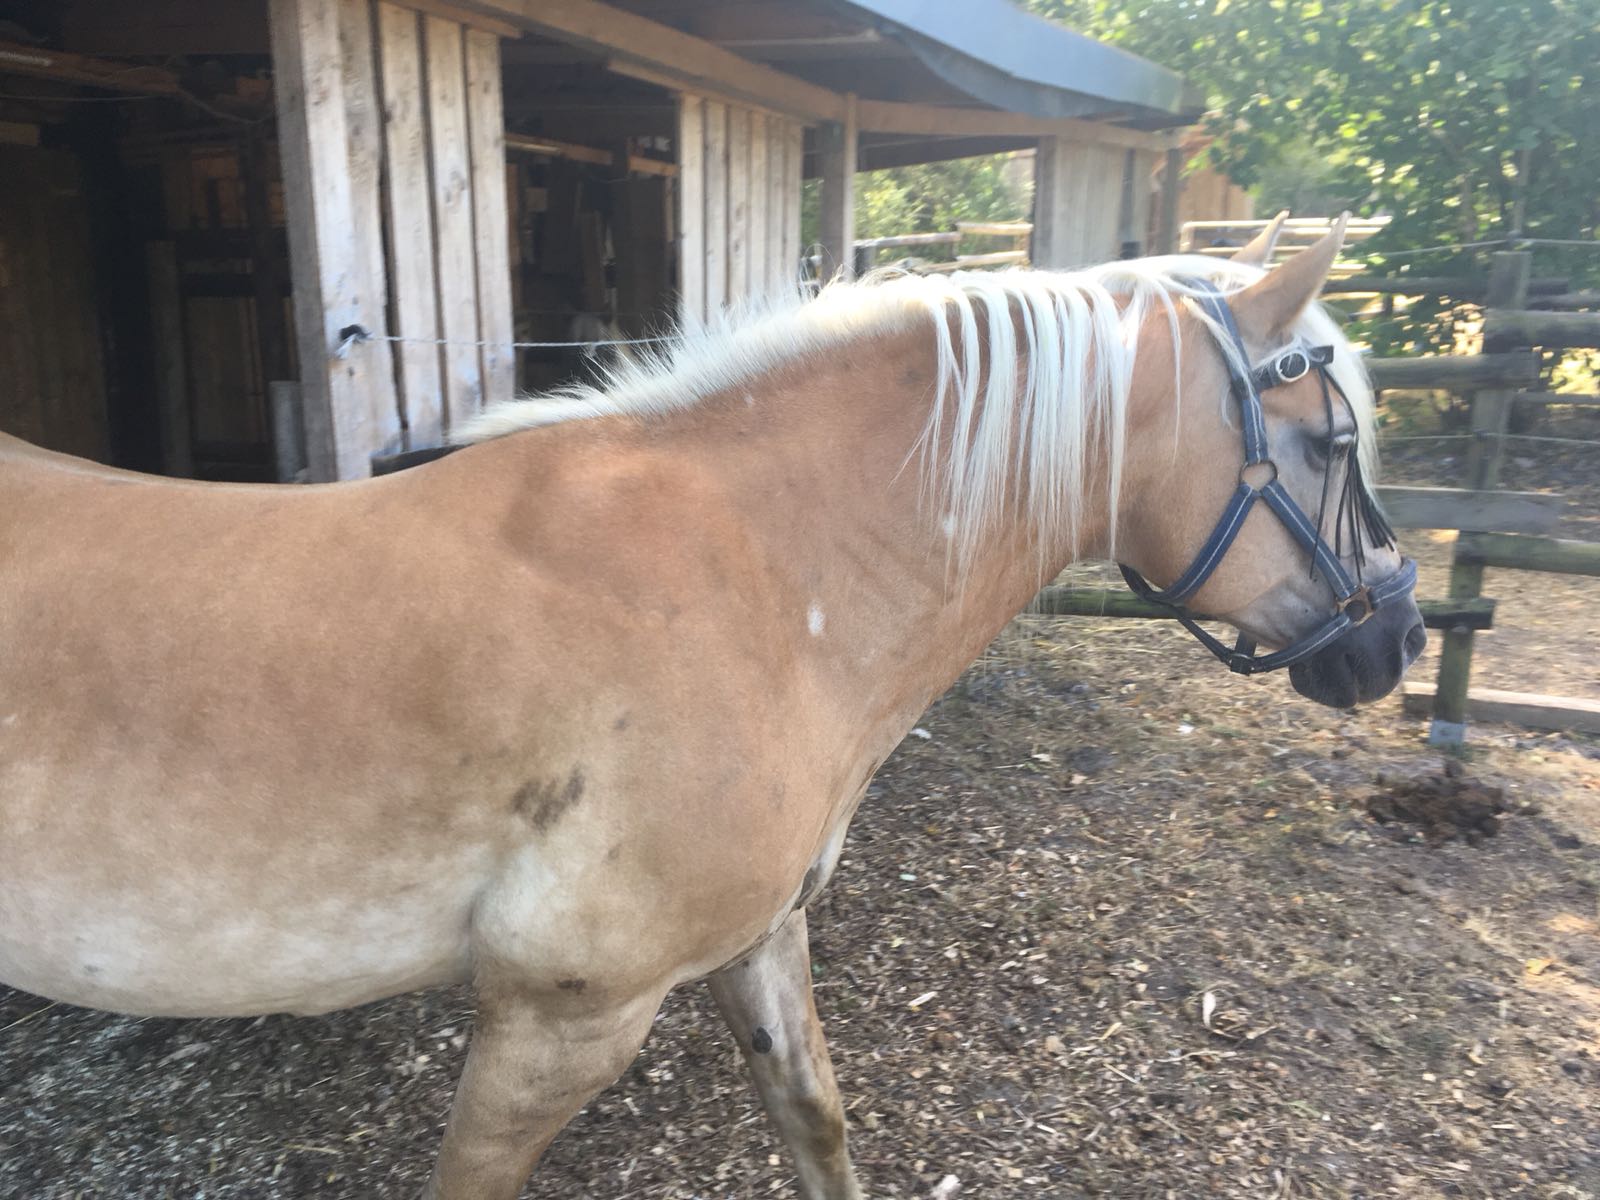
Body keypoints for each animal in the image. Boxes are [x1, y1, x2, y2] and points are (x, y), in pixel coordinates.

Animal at [0, 216, 1427, 1200]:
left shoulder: (761, 941)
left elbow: (816, 1125)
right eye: (1331, 442)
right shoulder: (559, 1019)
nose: (1398, 638)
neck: (758, 576)